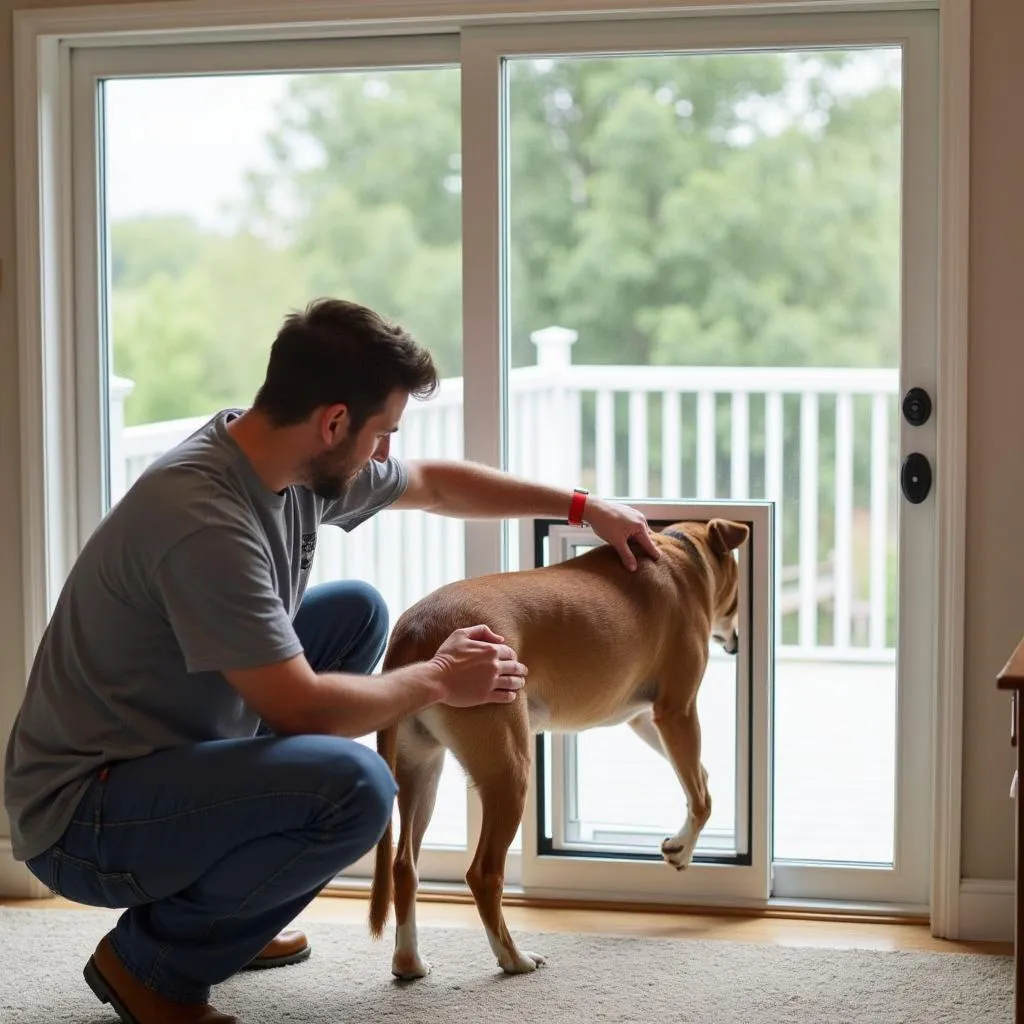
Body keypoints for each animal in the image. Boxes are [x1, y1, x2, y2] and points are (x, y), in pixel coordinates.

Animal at [366, 520, 745, 974]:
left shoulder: (645, 719)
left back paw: (408, 960)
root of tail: (414, 634)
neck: (681, 554)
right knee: (484, 874)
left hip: (421, 769)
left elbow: (697, 776)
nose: (737, 642)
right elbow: (702, 796)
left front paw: (683, 838)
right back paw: (513, 958)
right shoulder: (677, 711)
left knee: (404, 865)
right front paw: (683, 848)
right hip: (509, 770)